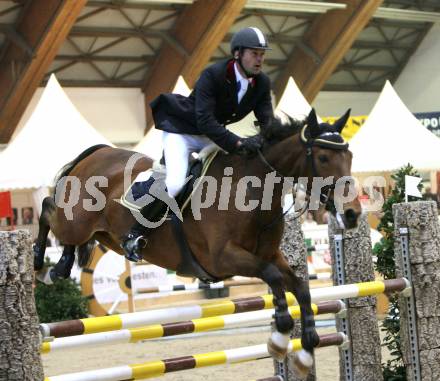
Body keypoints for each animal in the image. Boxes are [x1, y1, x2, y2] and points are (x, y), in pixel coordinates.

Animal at [31, 108, 360, 376]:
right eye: (323, 157)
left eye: (350, 156)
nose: (353, 214)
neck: (249, 190)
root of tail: (97, 153)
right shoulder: (223, 258)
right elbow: (273, 277)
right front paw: (280, 336)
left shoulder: (269, 255)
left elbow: (300, 288)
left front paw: (305, 352)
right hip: (76, 220)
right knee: (48, 208)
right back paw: (39, 264)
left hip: (102, 234)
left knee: (73, 238)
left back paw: (59, 268)